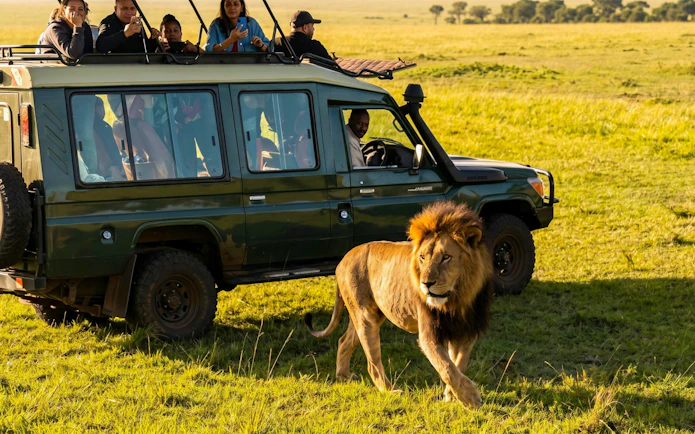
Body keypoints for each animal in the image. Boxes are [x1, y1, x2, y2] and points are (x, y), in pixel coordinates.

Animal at [305, 201, 493, 408]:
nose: (426, 283)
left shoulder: (466, 331)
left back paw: (343, 376)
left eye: (446, 257)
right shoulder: (429, 335)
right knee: (372, 363)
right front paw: (471, 398)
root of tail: (343, 259)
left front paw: (452, 396)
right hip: (366, 317)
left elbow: (458, 364)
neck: (457, 300)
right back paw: (390, 390)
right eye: (422, 257)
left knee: (344, 340)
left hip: (365, 315)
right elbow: (446, 367)